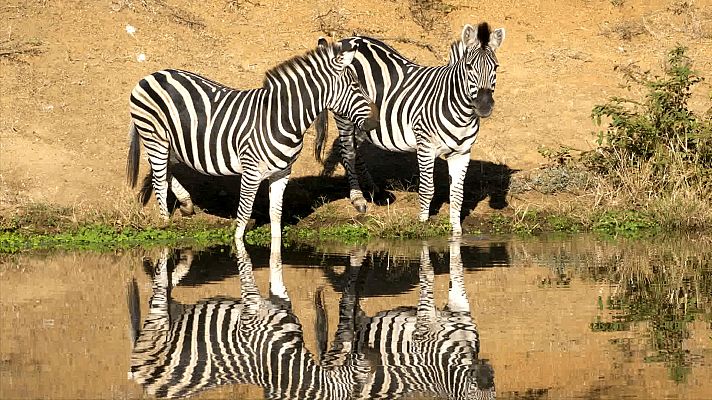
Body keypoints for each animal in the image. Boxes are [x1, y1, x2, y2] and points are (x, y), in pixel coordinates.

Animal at [123, 38, 382, 238]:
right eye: (356, 85)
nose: (376, 122)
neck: (282, 118)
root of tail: (150, 76)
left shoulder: (282, 172)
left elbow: (276, 217)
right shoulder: (250, 171)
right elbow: (243, 219)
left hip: (170, 142)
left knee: (165, 168)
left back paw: (186, 204)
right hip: (154, 136)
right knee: (158, 178)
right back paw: (165, 224)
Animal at [314, 23, 504, 236]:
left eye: (496, 67)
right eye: (469, 67)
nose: (484, 106)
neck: (459, 110)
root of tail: (345, 40)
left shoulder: (462, 152)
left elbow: (457, 194)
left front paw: (456, 232)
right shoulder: (425, 146)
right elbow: (427, 189)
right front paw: (422, 223)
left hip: (363, 121)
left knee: (354, 149)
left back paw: (374, 191)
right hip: (344, 114)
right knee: (347, 152)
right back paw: (358, 199)